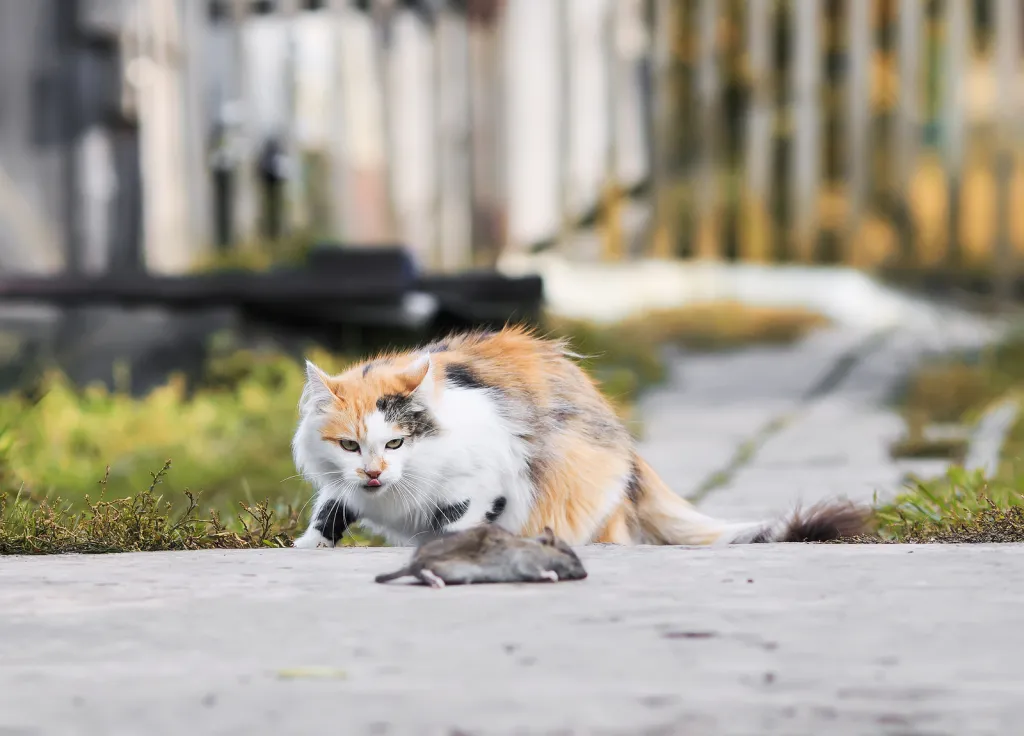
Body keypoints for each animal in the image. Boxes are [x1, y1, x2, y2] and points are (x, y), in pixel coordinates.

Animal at [292, 327, 868, 548]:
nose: (373, 473)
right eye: (349, 446)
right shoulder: (342, 488)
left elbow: (458, 520)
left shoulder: (487, 479)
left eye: (395, 444)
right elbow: (330, 509)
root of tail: (629, 450)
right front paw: (310, 545)